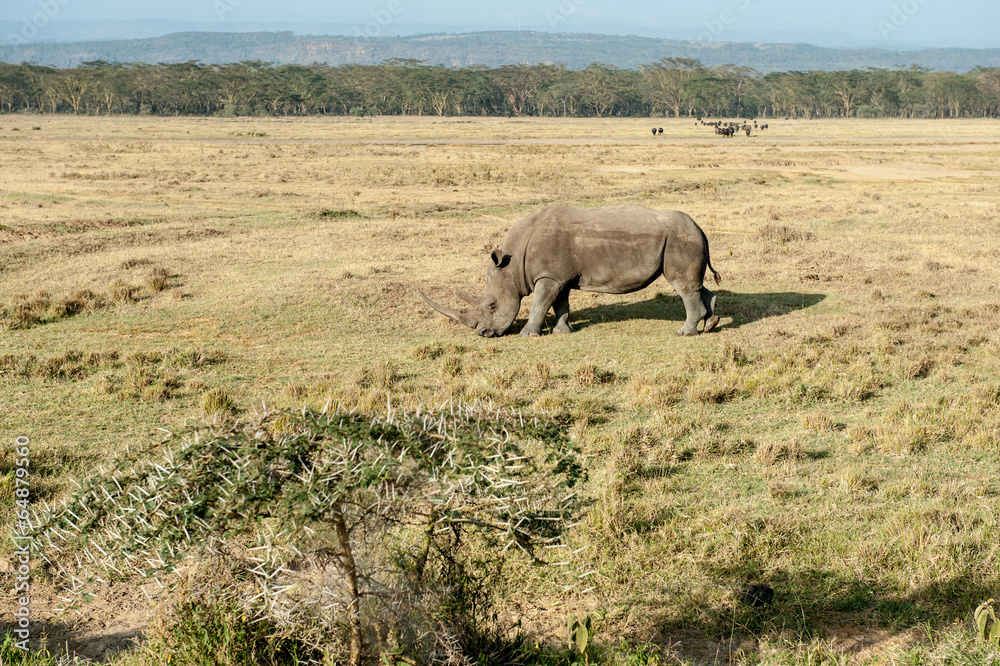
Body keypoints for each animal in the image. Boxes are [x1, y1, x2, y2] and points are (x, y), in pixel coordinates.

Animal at [420, 204, 721, 338]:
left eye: (492, 305)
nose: (482, 333)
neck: (513, 263)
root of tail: (700, 229)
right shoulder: (557, 276)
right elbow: (559, 304)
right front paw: (563, 332)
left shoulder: (548, 276)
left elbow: (539, 304)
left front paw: (528, 335)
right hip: (686, 240)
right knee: (697, 286)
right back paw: (711, 324)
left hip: (680, 241)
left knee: (683, 286)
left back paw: (685, 333)